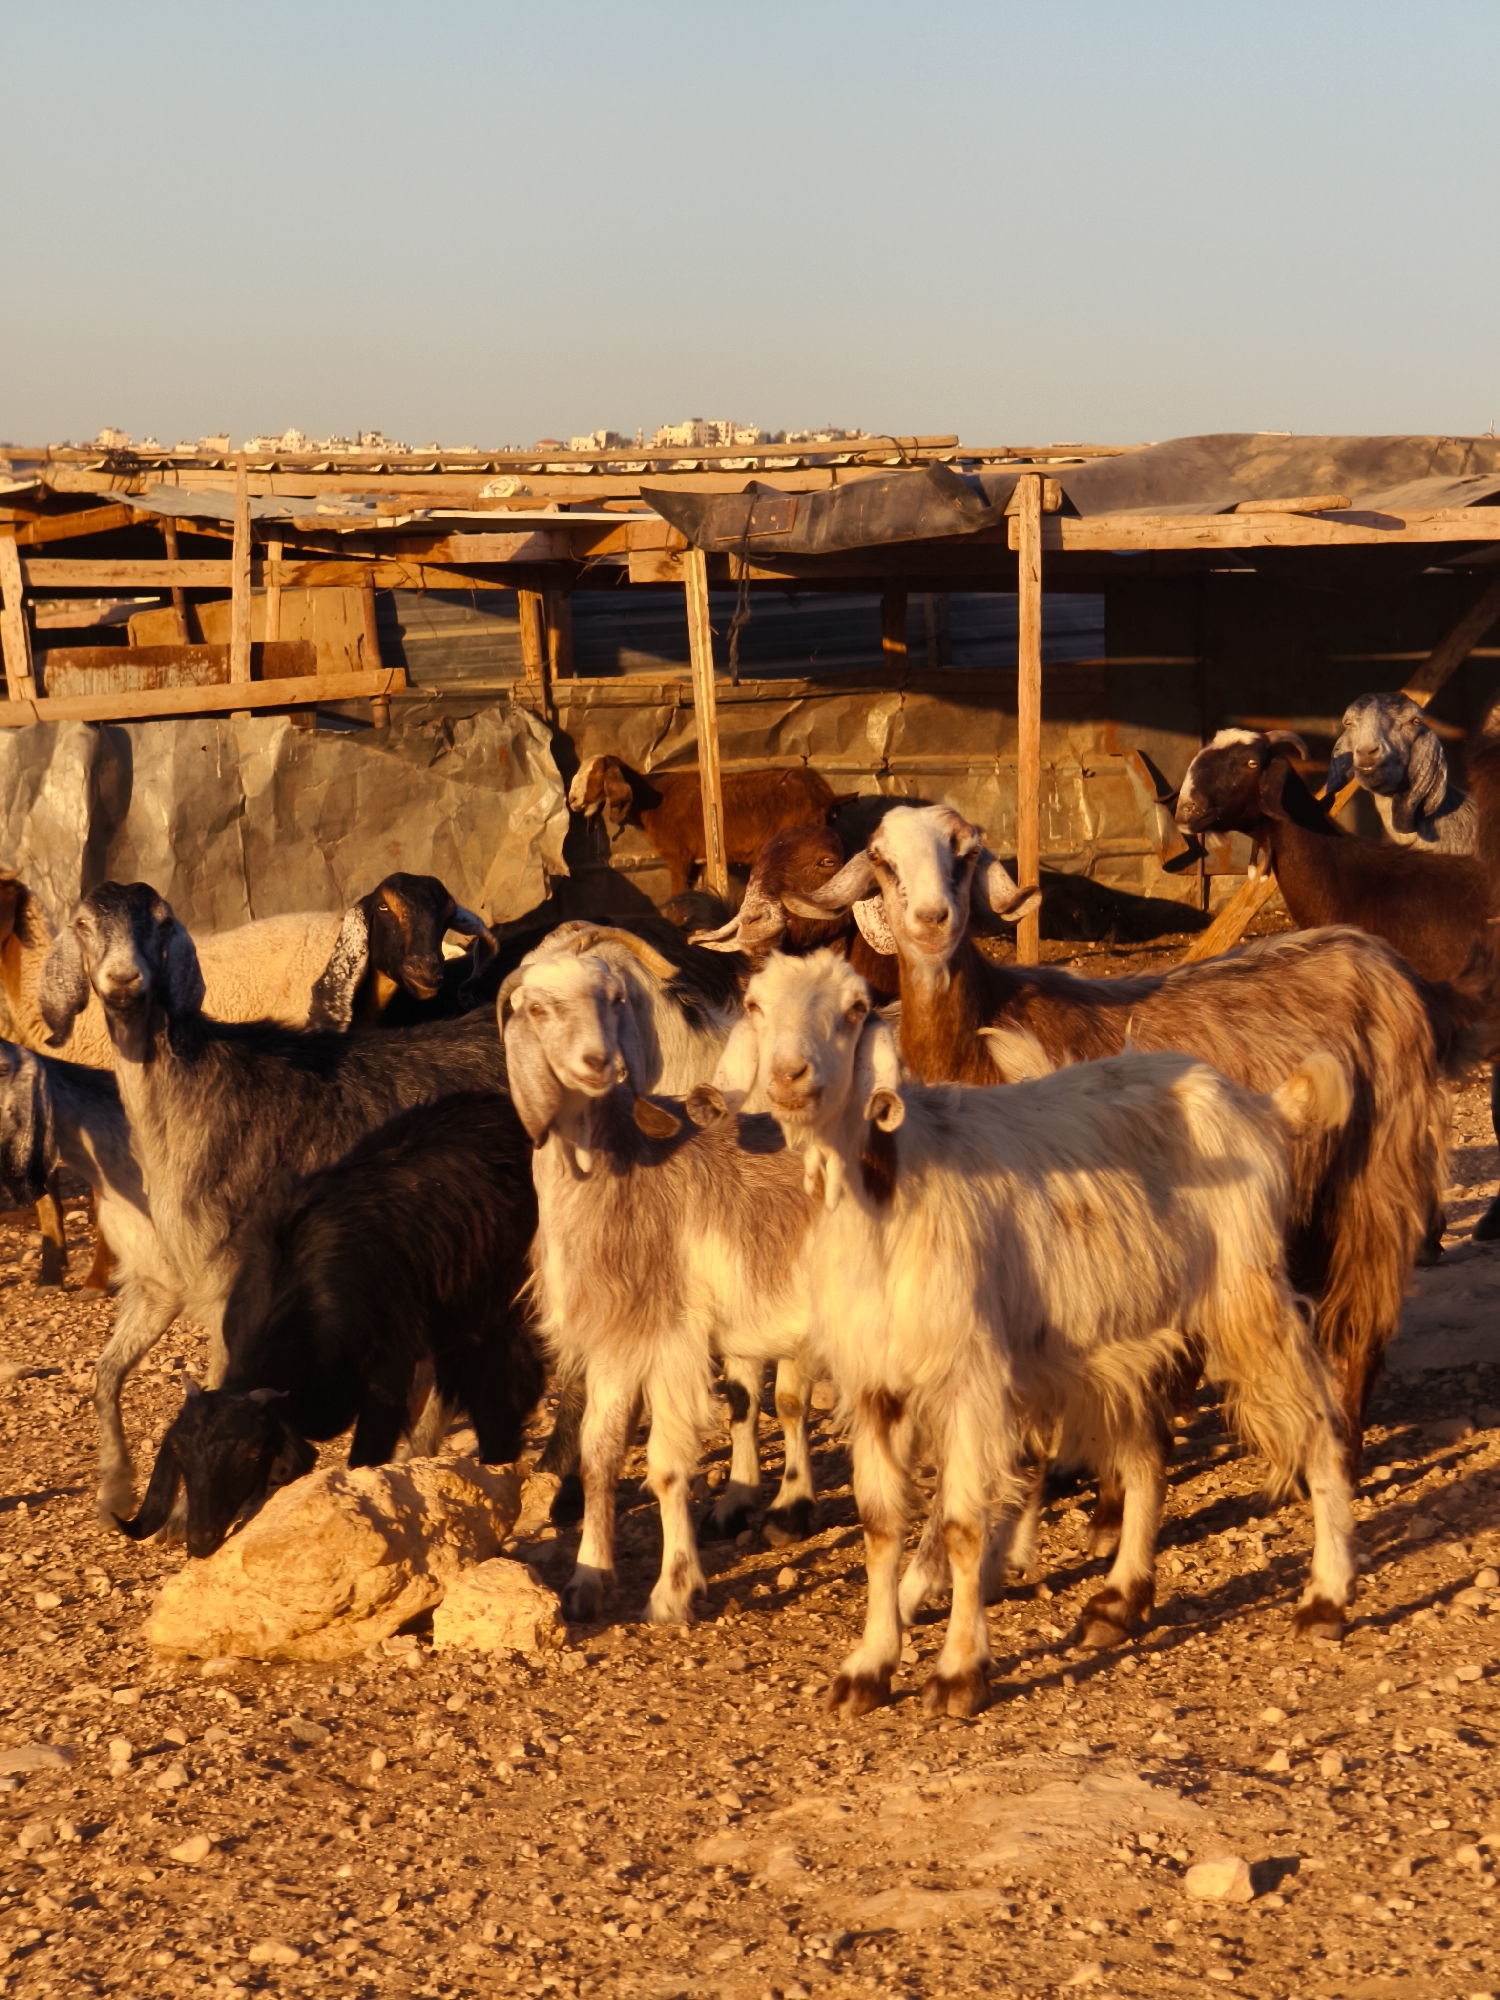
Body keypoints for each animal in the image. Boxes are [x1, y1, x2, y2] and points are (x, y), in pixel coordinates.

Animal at [502, 945, 819, 1624]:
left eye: (613, 998)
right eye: (537, 1008)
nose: (599, 1062)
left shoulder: (669, 1340)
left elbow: (668, 1467)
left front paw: (675, 1590)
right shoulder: (614, 1343)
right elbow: (598, 1456)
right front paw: (588, 1581)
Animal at [568, 755, 854, 896]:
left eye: (597, 773)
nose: (571, 800)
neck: (655, 800)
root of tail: (824, 796)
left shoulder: (678, 856)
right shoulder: (699, 860)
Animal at [726, 950, 1356, 1719]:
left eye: (853, 1009)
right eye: (755, 1005)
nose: (791, 1075)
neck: (889, 1193)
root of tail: (1258, 1105)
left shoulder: (969, 1378)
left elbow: (964, 1526)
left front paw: (959, 1673)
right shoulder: (874, 1385)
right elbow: (878, 1525)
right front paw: (868, 1669)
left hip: (1245, 1298)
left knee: (1316, 1427)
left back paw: (1326, 1598)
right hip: (1131, 1333)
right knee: (1148, 1454)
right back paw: (1120, 1601)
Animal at [786, 802, 1474, 1480]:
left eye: (967, 853)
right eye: (882, 860)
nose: (932, 920)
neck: (981, 1033)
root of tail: (1382, 960)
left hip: (1379, 1168)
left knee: (1363, 1315)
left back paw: (1347, 1452)